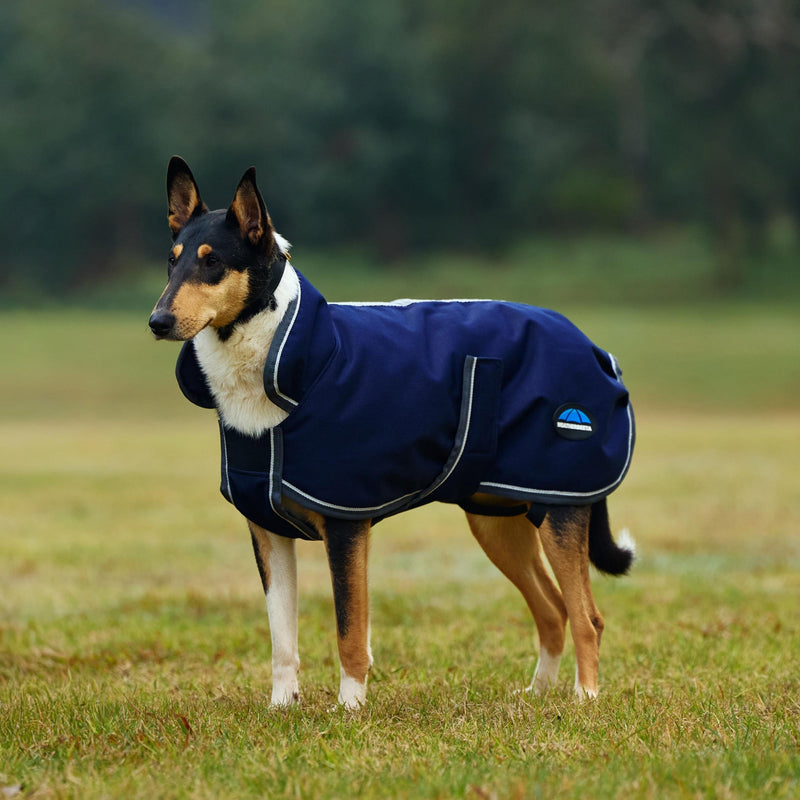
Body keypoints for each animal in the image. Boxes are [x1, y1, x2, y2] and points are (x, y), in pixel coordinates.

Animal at [150, 157, 635, 709]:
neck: (282, 351)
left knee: (588, 618)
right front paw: (281, 708)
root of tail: (591, 346)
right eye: (172, 262)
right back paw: (535, 695)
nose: (157, 321)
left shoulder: (346, 525)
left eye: (211, 263)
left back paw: (584, 701)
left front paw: (349, 708)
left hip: (560, 513)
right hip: (498, 522)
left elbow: (349, 631)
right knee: (553, 610)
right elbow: (281, 639)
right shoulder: (267, 532)